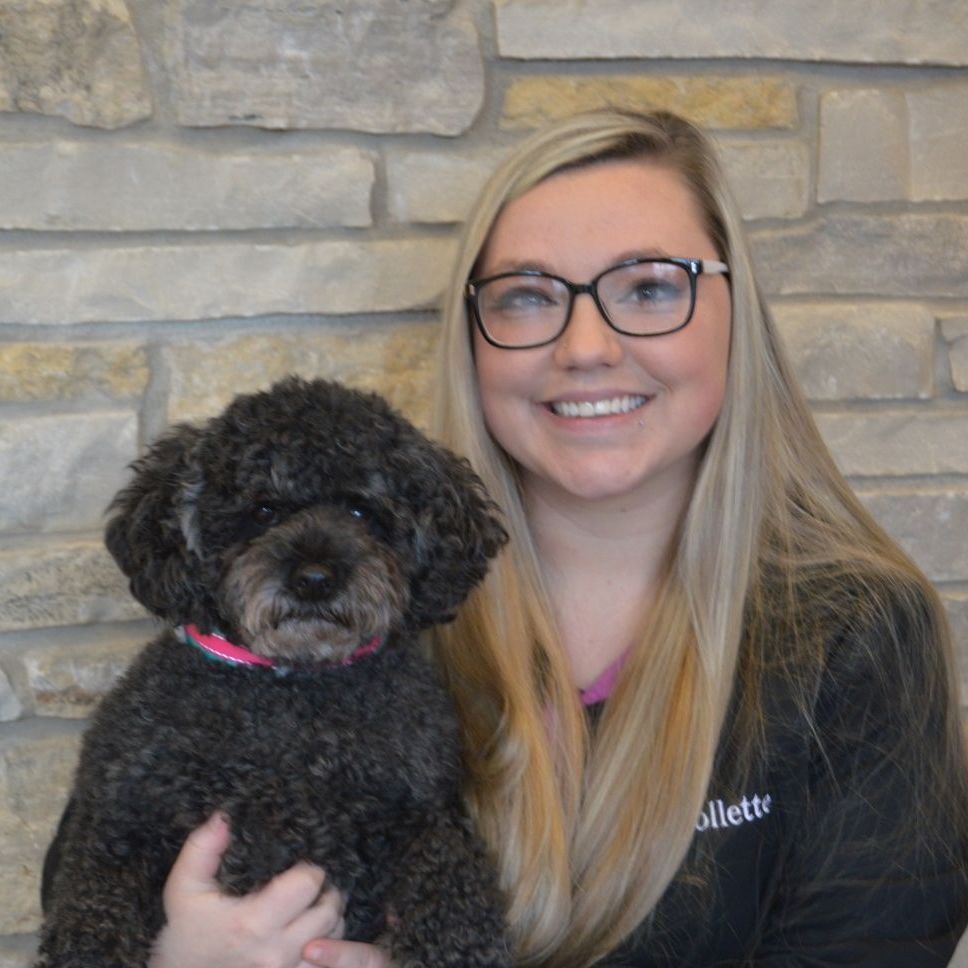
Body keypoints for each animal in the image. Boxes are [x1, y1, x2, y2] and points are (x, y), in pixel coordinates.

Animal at [36, 378, 516, 968]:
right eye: (263, 509)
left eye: (361, 510)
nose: (314, 578)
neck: (291, 683)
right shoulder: (117, 818)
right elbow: (92, 899)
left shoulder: (421, 806)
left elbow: (450, 867)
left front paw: (456, 943)